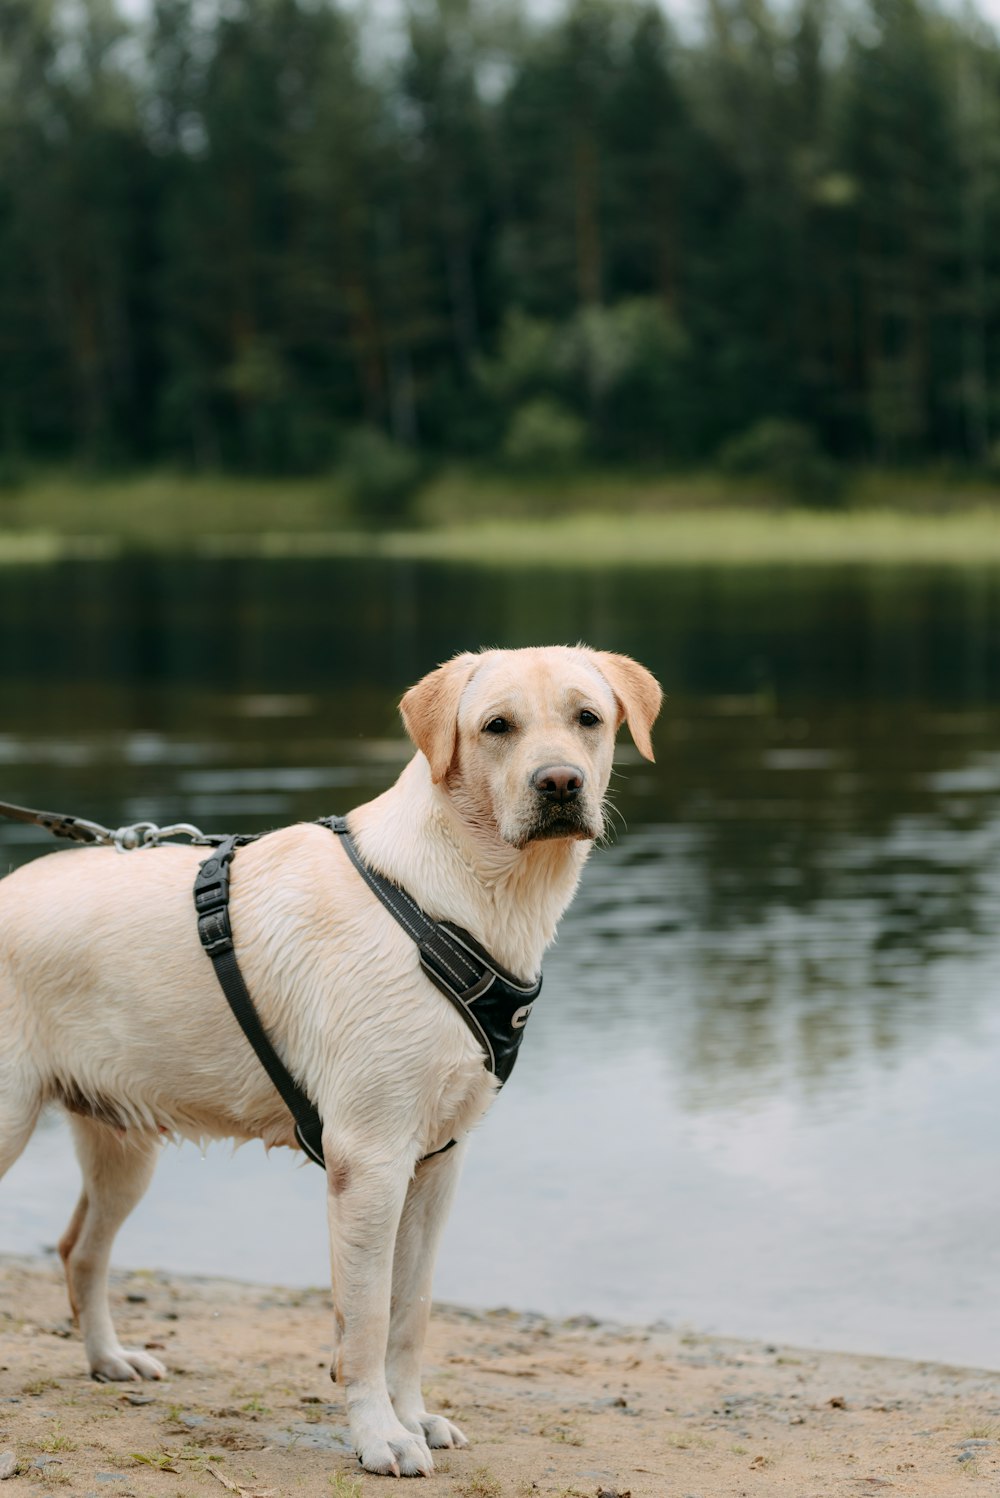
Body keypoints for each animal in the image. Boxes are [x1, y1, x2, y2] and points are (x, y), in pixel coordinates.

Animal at [1, 644, 664, 1474]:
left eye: (588, 718)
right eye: (496, 727)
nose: (560, 783)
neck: (448, 897)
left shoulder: (437, 1161)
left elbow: (412, 1311)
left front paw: (415, 1417)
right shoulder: (369, 1161)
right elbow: (368, 1319)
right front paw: (382, 1437)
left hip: (123, 1145)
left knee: (79, 1251)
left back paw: (109, 1360)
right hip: (11, 1123)